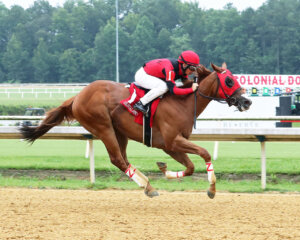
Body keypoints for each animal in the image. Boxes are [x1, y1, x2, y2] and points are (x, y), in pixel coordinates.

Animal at [19, 62, 252, 198]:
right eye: (229, 80)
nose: (247, 101)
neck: (183, 103)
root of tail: (77, 96)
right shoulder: (172, 140)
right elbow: (204, 153)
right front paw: (212, 188)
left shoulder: (169, 146)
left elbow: (190, 167)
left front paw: (164, 169)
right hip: (103, 127)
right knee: (117, 159)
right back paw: (148, 186)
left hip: (119, 132)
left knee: (122, 158)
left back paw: (147, 183)